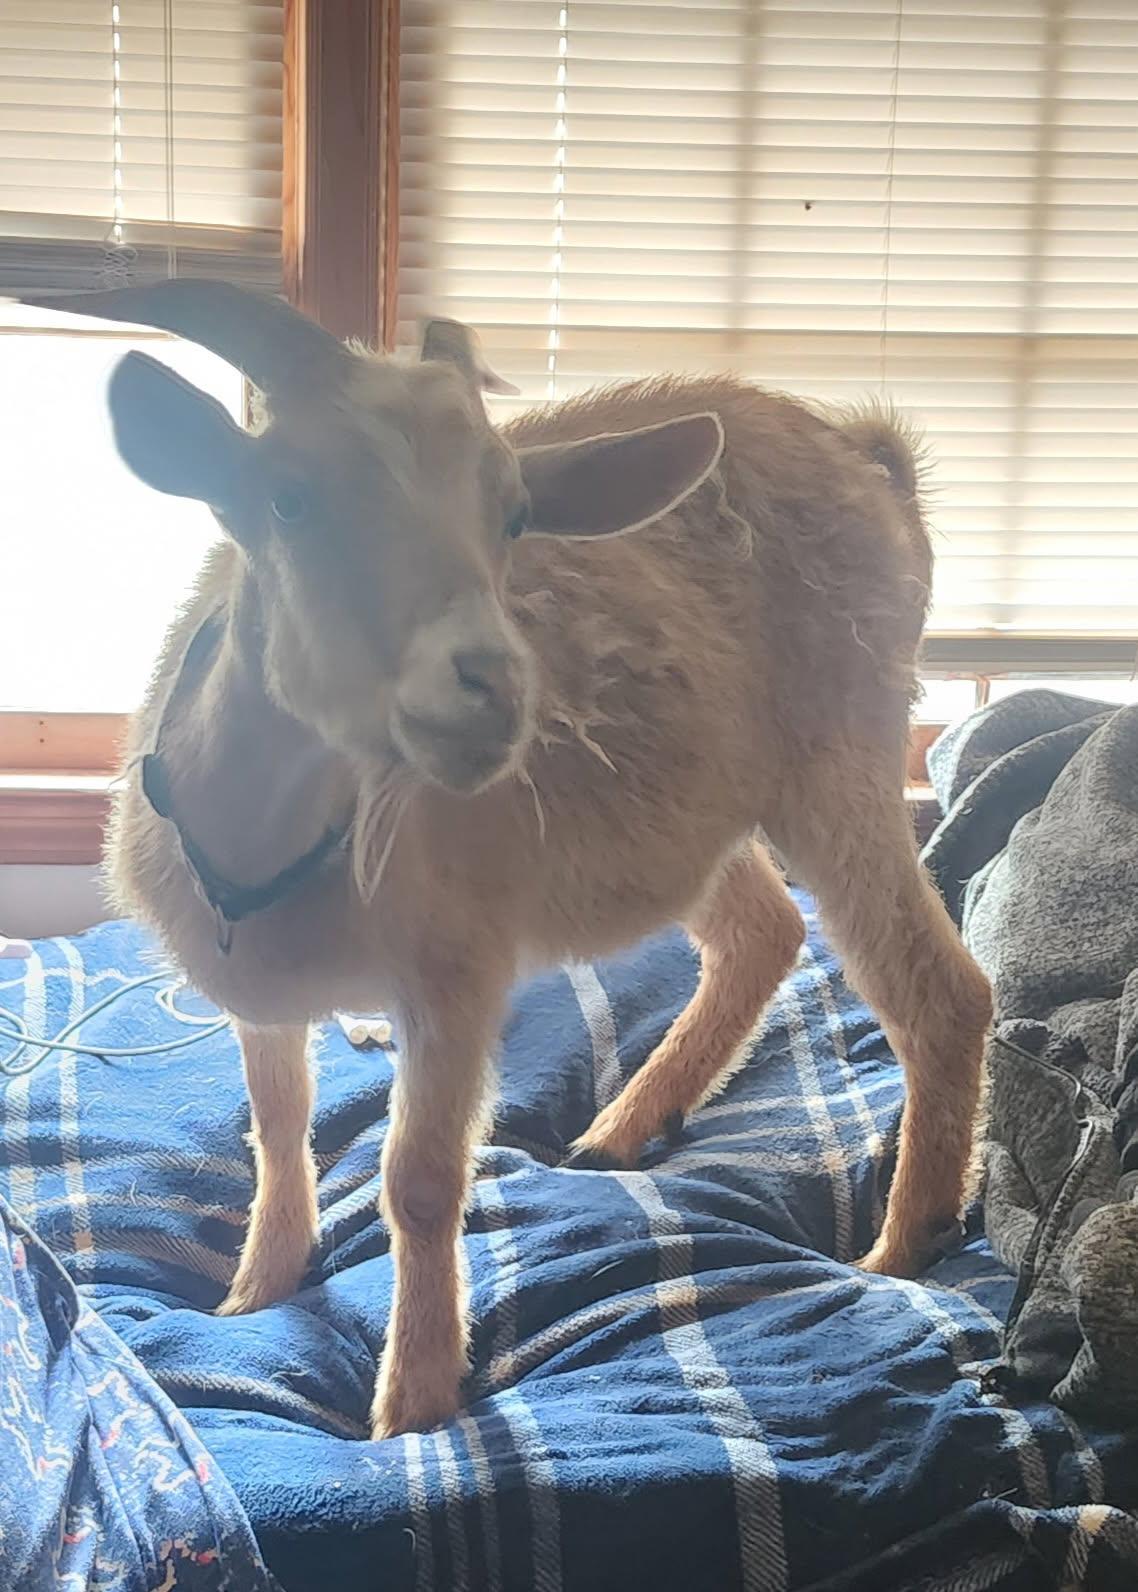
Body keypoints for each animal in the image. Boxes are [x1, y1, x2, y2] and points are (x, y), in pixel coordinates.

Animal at [29, 280, 991, 1440]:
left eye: (513, 514)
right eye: (287, 498)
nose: (492, 687)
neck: (277, 854)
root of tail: (869, 460)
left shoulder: (455, 969)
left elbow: (419, 1177)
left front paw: (413, 1398)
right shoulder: (258, 991)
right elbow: (276, 1122)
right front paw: (254, 1289)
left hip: (840, 749)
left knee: (937, 985)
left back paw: (905, 1242)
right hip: (691, 807)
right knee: (763, 928)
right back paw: (625, 1127)